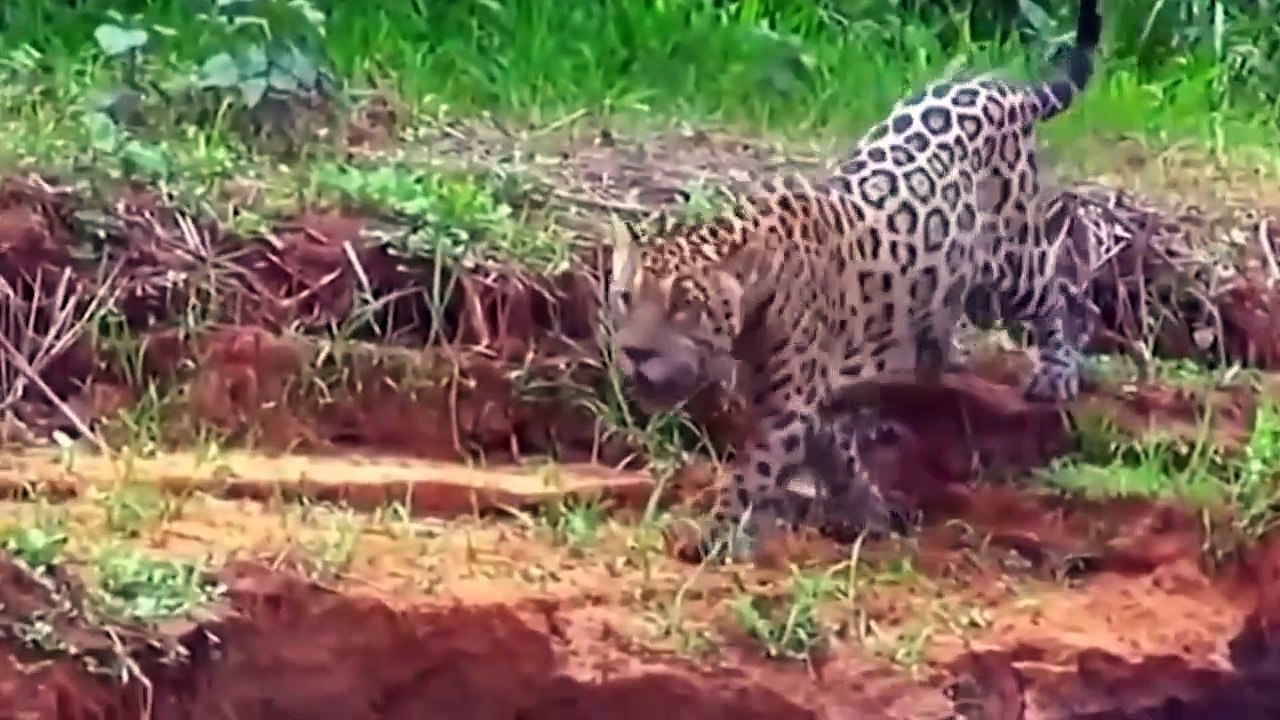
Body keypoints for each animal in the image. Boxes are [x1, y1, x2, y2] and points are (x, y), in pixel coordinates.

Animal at [604, 0, 1103, 562]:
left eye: (684, 305)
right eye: (624, 297)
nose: (635, 353)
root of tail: (1004, 88)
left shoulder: (787, 407)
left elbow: (753, 473)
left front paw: (717, 532)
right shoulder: (805, 403)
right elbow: (837, 456)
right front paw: (868, 511)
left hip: (1012, 259)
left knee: (1058, 295)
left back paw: (1057, 372)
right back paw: (935, 362)